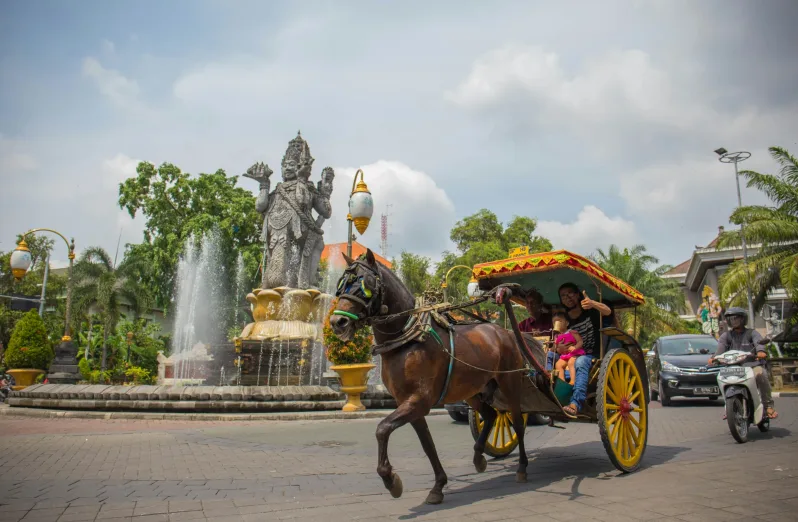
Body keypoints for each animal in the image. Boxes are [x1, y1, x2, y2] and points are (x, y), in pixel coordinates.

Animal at [330, 250, 536, 502]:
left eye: (365, 284)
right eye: (341, 285)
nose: (337, 322)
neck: (407, 340)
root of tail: (503, 331)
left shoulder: (419, 400)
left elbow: (382, 429)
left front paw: (391, 480)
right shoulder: (408, 402)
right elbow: (427, 444)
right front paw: (438, 485)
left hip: (509, 381)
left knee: (516, 422)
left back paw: (522, 467)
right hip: (473, 390)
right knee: (490, 414)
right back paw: (478, 457)